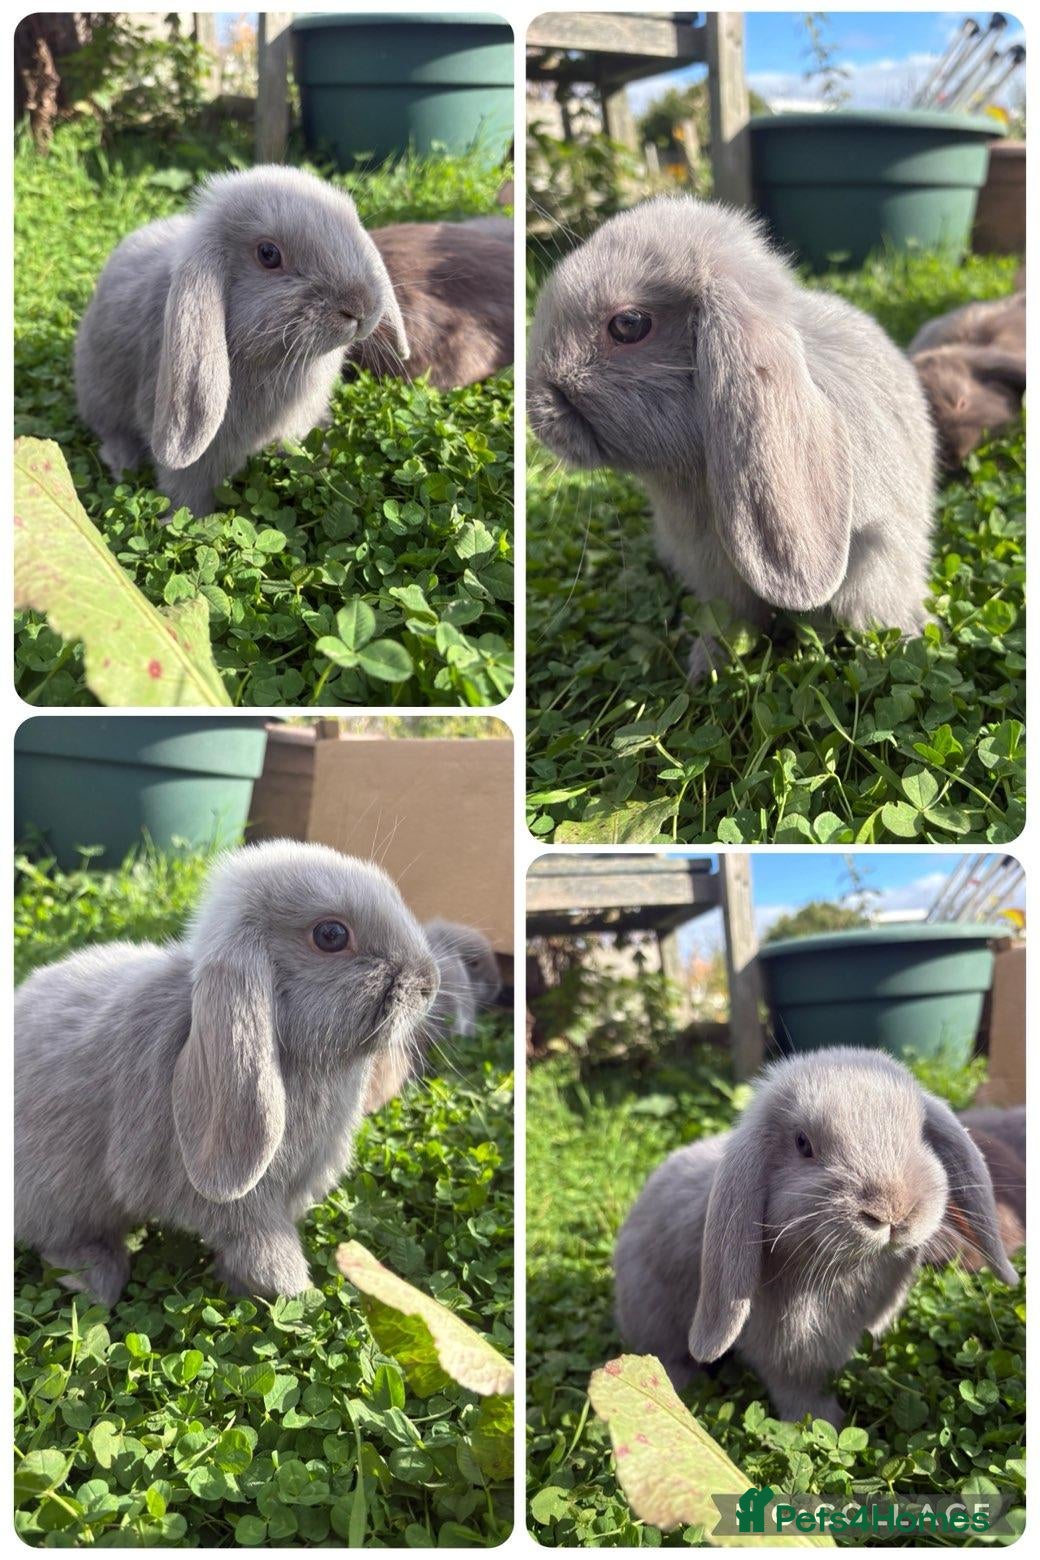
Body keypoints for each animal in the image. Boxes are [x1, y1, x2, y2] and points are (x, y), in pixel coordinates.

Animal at [14, 840, 438, 1306]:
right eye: (331, 935)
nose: (429, 983)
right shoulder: (241, 1202)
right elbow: (260, 1242)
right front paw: (294, 1291)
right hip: (61, 1194)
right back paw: (96, 1281)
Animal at [528, 197, 937, 682]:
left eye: (628, 325)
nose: (537, 413)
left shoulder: (879, 555)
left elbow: (875, 612)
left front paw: (904, 644)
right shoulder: (715, 576)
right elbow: (732, 619)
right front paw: (706, 665)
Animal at [614, 1048, 1018, 1426]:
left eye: (920, 1134)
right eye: (802, 1143)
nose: (892, 1211)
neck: (849, 1267)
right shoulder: (787, 1350)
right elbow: (800, 1390)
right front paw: (826, 1422)